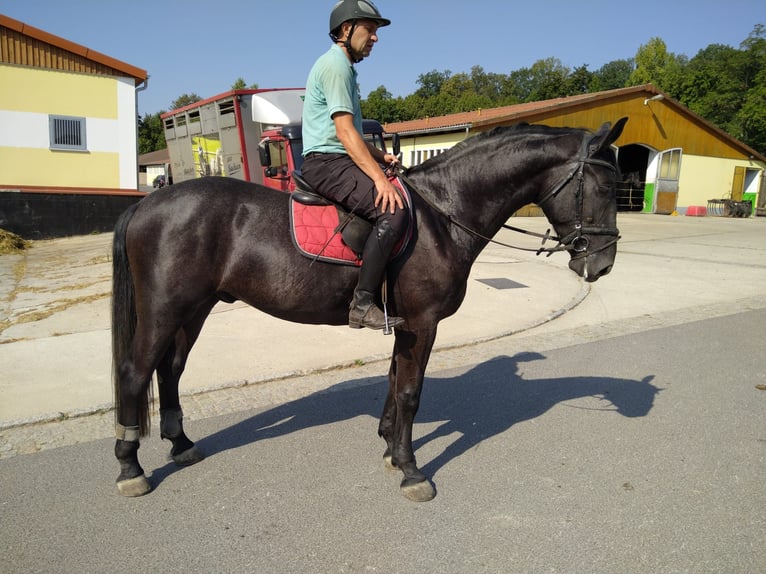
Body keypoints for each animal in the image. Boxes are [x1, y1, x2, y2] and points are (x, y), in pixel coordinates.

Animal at [114, 118, 632, 504]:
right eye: (606, 186)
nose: (603, 264)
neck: (443, 214)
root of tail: (149, 202)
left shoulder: (404, 325)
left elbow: (393, 380)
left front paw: (389, 446)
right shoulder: (422, 324)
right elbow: (410, 392)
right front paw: (411, 469)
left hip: (194, 309)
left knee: (171, 370)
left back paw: (181, 445)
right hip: (164, 309)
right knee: (136, 373)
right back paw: (129, 466)